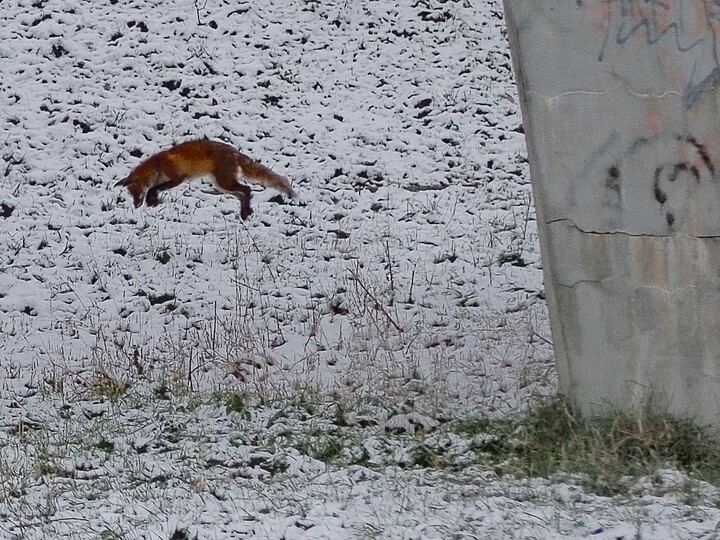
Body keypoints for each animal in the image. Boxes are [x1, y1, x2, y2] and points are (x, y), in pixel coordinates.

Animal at [116, 139, 296, 219]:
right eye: (131, 194)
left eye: (135, 192)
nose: (135, 205)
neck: (158, 165)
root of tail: (235, 152)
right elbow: (155, 190)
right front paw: (152, 201)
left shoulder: (177, 178)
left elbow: (154, 188)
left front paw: (151, 200)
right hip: (221, 185)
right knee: (243, 194)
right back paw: (245, 212)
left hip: (224, 183)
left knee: (247, 189)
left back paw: (245, 213)